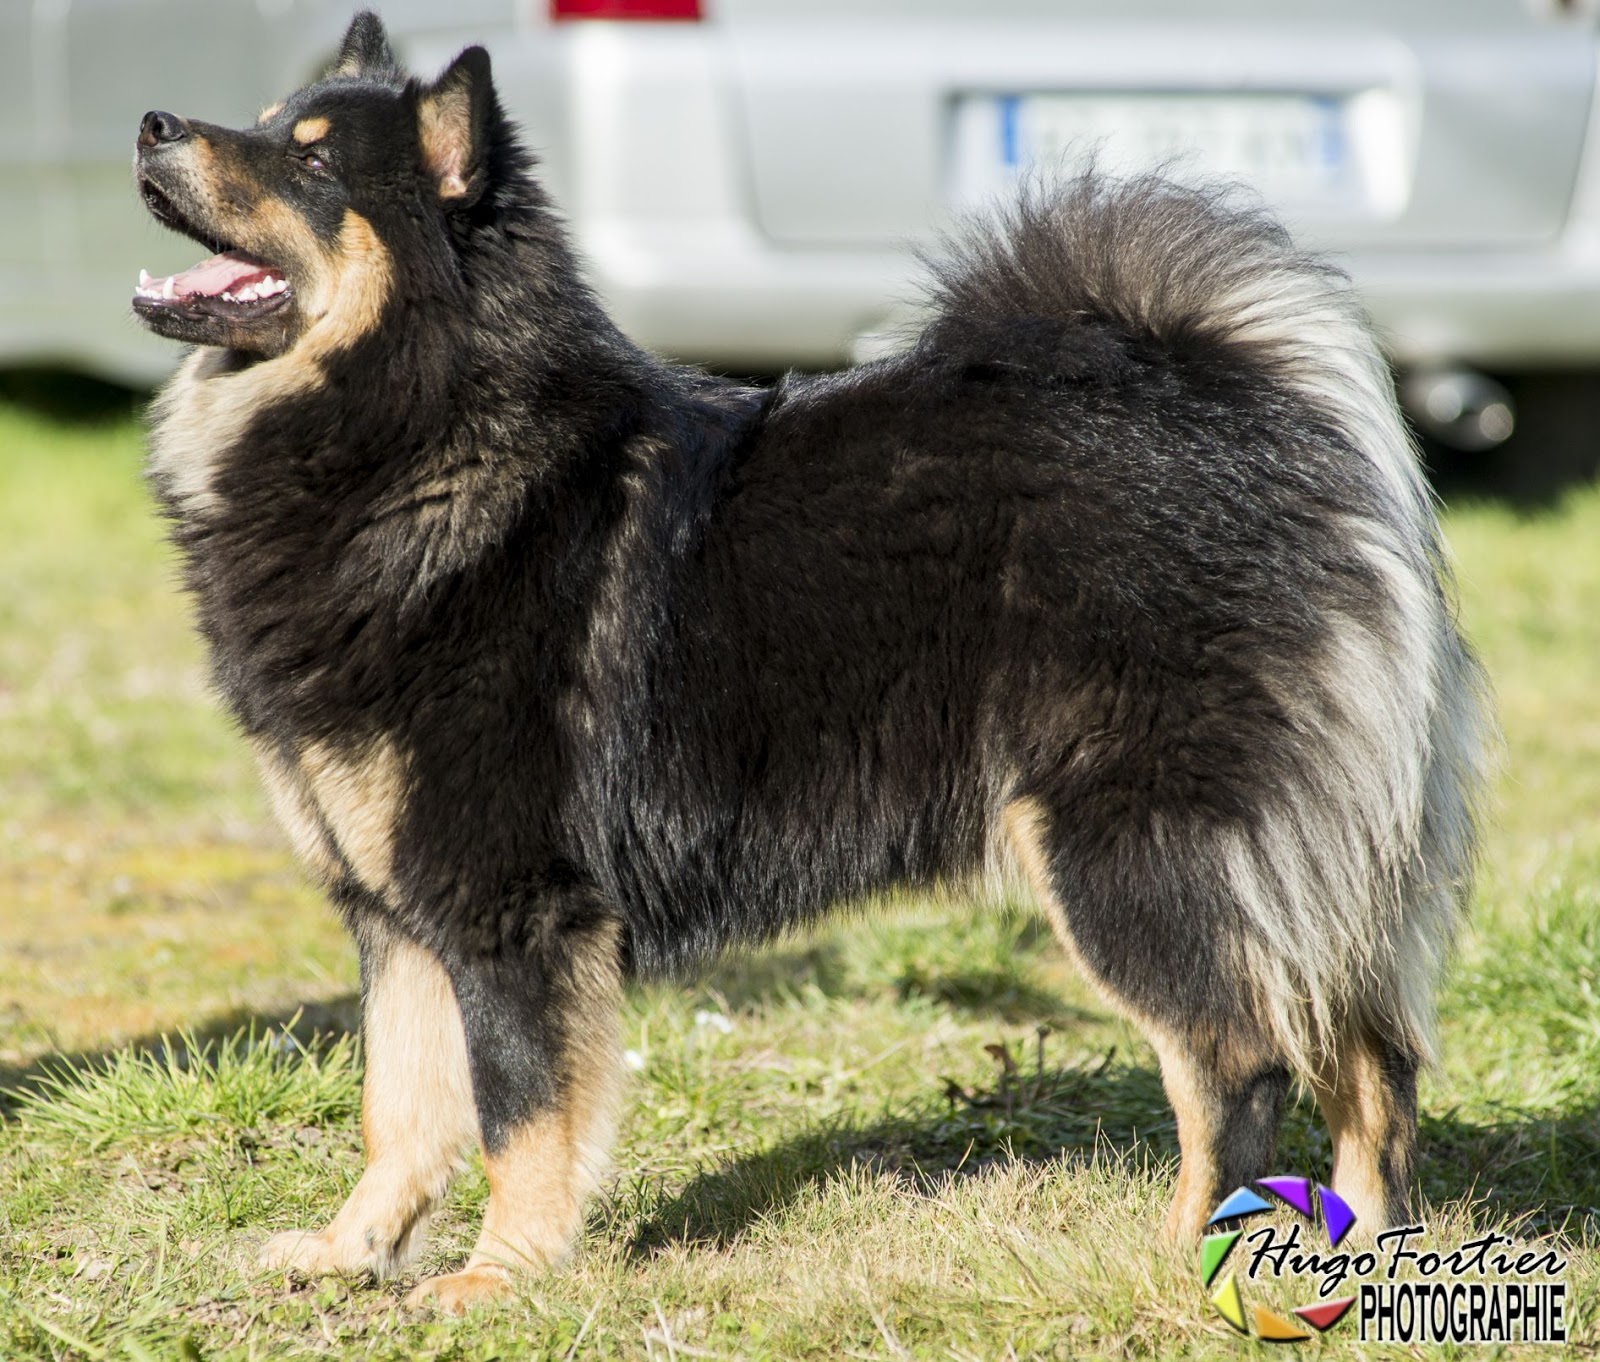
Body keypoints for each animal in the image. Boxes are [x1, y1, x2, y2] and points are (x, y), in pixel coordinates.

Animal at [131, 8, 1491, 1312]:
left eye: (311, 164)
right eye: (265, 122)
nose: (150, 122)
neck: (418, 429)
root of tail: (1251, 418)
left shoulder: (508, 906)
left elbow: (519, 1114)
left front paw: (499, 1276)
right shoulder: (398, 911)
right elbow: (399, 1109)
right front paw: (350, 1252)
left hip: (1129, 852)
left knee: (1240, 1063)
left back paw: (1181, 1263)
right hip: (1304, 869)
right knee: (1370, 1063)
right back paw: (1356, 1264)